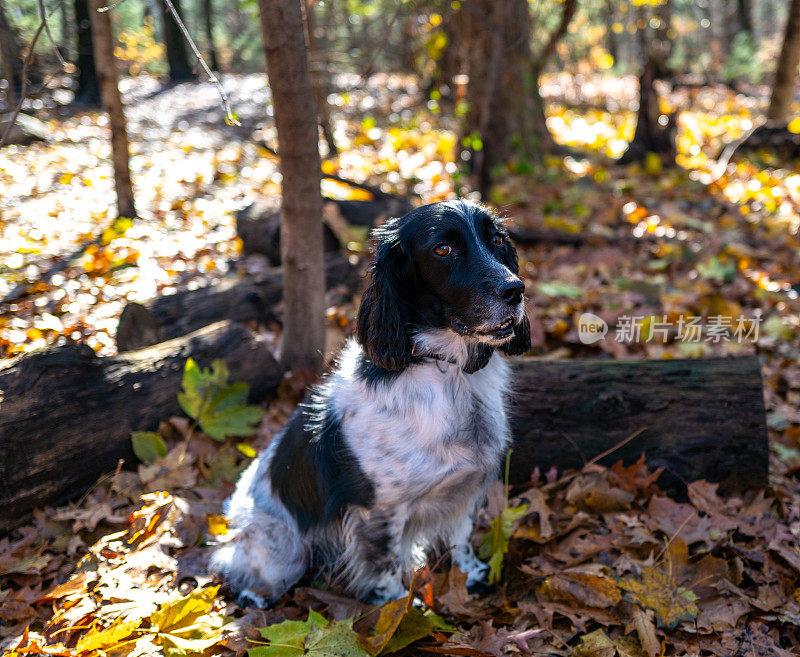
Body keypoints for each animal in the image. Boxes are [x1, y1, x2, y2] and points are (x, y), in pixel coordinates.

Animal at [211, 199, 532, 604]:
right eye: (443, 249)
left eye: (497, 240)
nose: (515, 289)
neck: (446, 369)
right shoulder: (379, 510)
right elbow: (386, 566)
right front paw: (399, 612)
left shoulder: (464, 489)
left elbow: (460, 539)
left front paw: (471, 576)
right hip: (279, 549)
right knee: (238, 569)